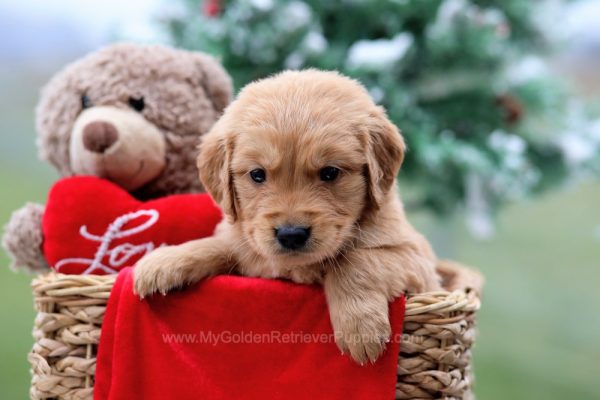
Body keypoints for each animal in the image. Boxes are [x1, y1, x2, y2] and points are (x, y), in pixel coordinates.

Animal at [134, 70, 438, 364]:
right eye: (257, 174)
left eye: (330, 172)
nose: (291, 235)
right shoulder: (247, 247)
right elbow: (221, 245)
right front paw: (163, 261)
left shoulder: (416, 258)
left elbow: (358, 260)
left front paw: (360, 327)